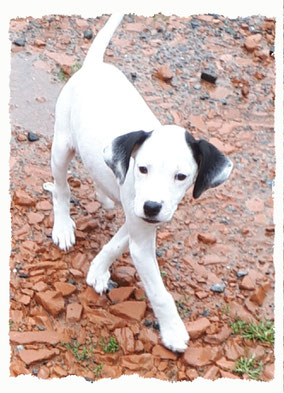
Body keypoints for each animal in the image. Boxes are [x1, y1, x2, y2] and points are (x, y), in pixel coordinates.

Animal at [43, 13, 232, 350]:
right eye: (142, 168)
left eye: (181, 177)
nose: (153, 206)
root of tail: (93, 66)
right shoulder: (141, 232)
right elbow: (159, 291)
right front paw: (173, 330)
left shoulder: (141, 217)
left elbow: (118, 241)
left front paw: (98, 269)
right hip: (61, 147)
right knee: (62, 189)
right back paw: (63, 226)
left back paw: (104, 196)